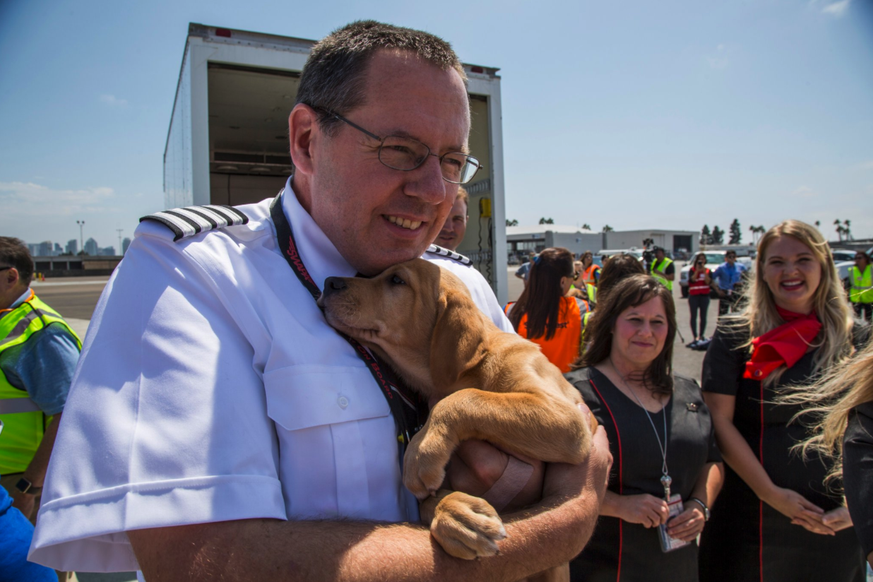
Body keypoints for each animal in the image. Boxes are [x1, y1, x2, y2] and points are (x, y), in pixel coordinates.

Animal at [316, 262, 596, 572]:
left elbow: (465, 398)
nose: (329, 282)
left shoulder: (567, 418)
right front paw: (456, 513)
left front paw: (420, 452)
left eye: (397, 280)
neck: (473, 368)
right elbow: (427, 501)